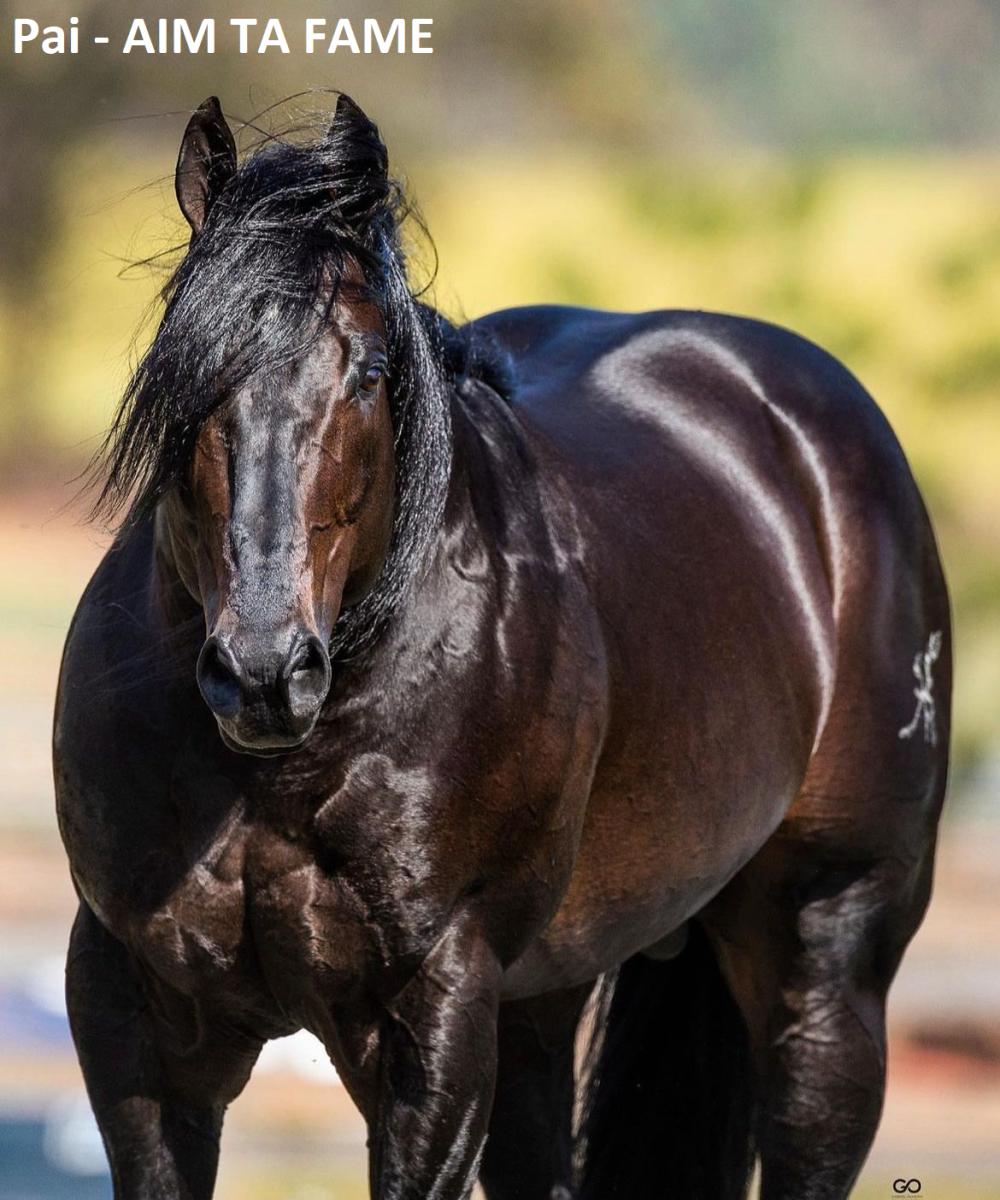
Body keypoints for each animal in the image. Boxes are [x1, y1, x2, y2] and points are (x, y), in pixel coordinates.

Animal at [54, 93, 951, 1200]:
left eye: (371, 369)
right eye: (181, 366)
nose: (264, 672)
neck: (285, 766)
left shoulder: (434, 1013)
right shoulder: (134, 1011)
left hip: (827, 952)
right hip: (542, 1005)